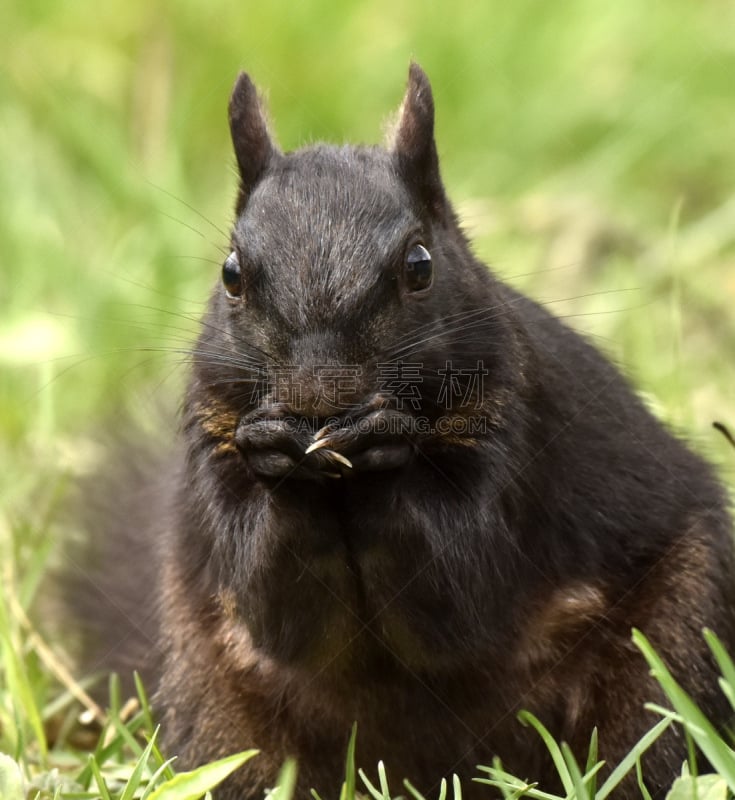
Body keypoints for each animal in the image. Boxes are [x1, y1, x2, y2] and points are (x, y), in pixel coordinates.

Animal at [72, 65, 735, 796]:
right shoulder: (213, 442)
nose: (319, 397)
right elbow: (272, 607)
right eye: (231, 274)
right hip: (219, 712)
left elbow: (463, 585)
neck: (340, 489)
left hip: (672, 649)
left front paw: (381, 442)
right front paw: (282, 459)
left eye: (420, 266)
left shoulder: (519, 435)